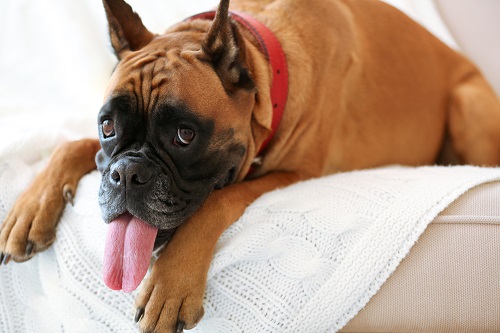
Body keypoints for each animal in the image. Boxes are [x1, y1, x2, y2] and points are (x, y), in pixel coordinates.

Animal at [0, 0, 500, 330]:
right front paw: (29, 209)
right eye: (107, 126)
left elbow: (216, 203)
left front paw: (171, 283)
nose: (126, 175)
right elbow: (71, 145)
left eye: (185, 135)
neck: (262, 63)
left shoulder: (292, 174)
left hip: (467, 104)